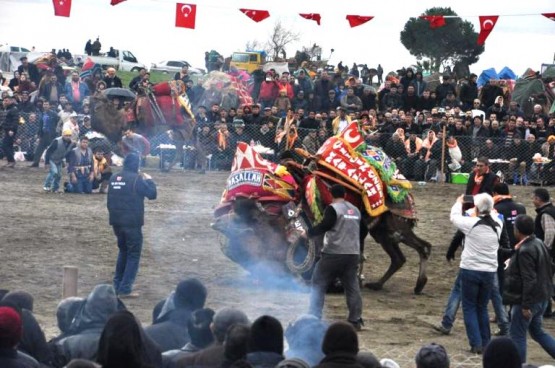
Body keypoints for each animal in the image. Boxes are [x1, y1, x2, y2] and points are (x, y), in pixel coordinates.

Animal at [213, 122, 434, 294]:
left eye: (249, 230)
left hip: (396, 225)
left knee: (423, 247)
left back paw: (419, 284)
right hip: (382, 231)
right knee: (399, 258)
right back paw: (377, 284)